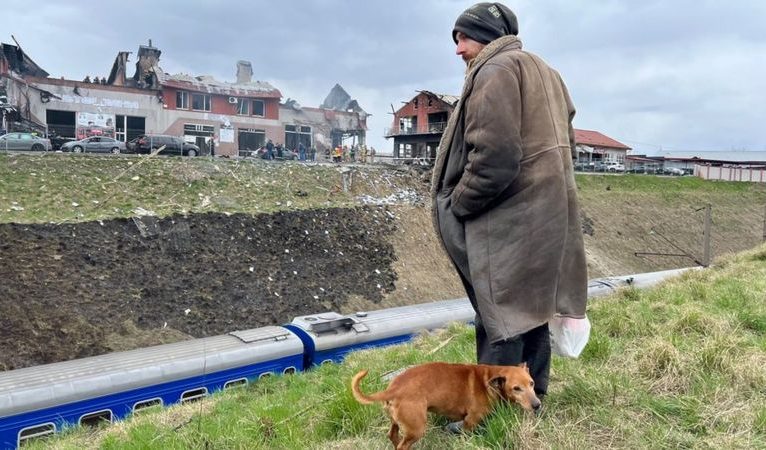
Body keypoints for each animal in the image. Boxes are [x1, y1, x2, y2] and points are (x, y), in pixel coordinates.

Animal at [352, 362, 540, 450]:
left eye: (531, 383)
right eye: (516, 388)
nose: (537, 405)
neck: (489, 380)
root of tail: (393, 388)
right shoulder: (470, 422)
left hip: (397, 422)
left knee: (393, 436)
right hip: (417, 428)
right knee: (402, 445)